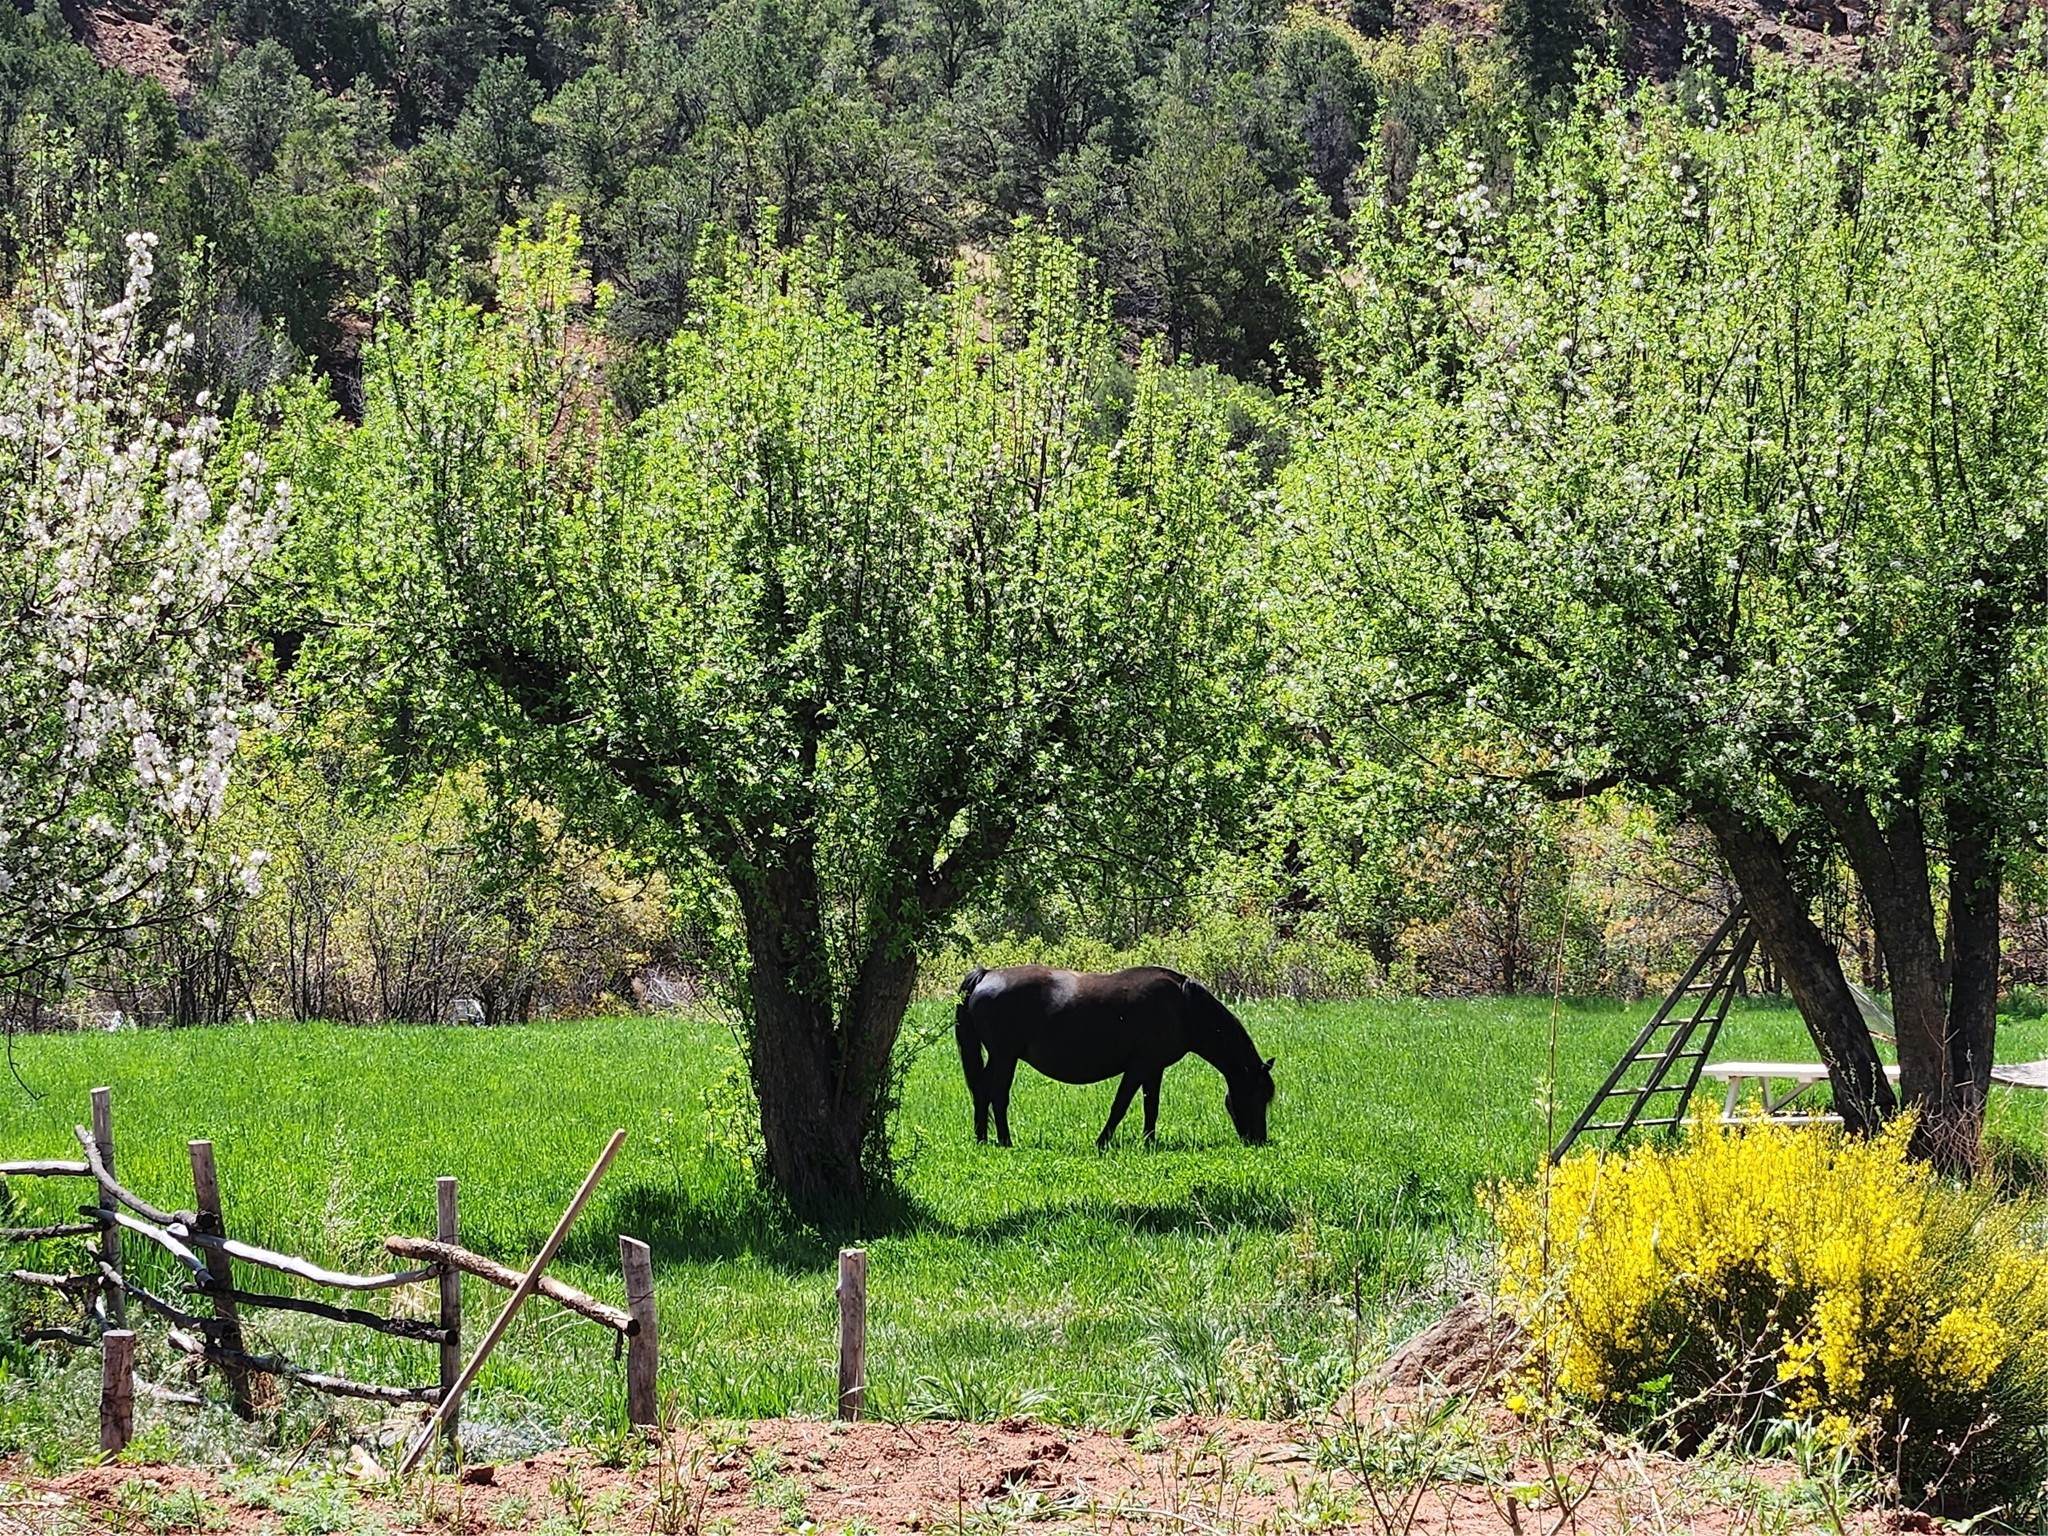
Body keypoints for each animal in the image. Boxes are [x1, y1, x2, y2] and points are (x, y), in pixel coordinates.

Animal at [950, 966, 1269, 1146]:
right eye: (1258, 1097)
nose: (1259, 1140)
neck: (1183, 1007)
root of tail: (987, 975)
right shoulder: (1139, 1067)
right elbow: (1121, 1105)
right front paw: (1103, 1141)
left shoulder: (1154, 1068)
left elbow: (1151, 1107)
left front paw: (1149, 1142)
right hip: (1005, 1056)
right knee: (998, 1096)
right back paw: (1005, 1141)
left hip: (998, 1057)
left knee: (981, 1091)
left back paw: (983, 1138)